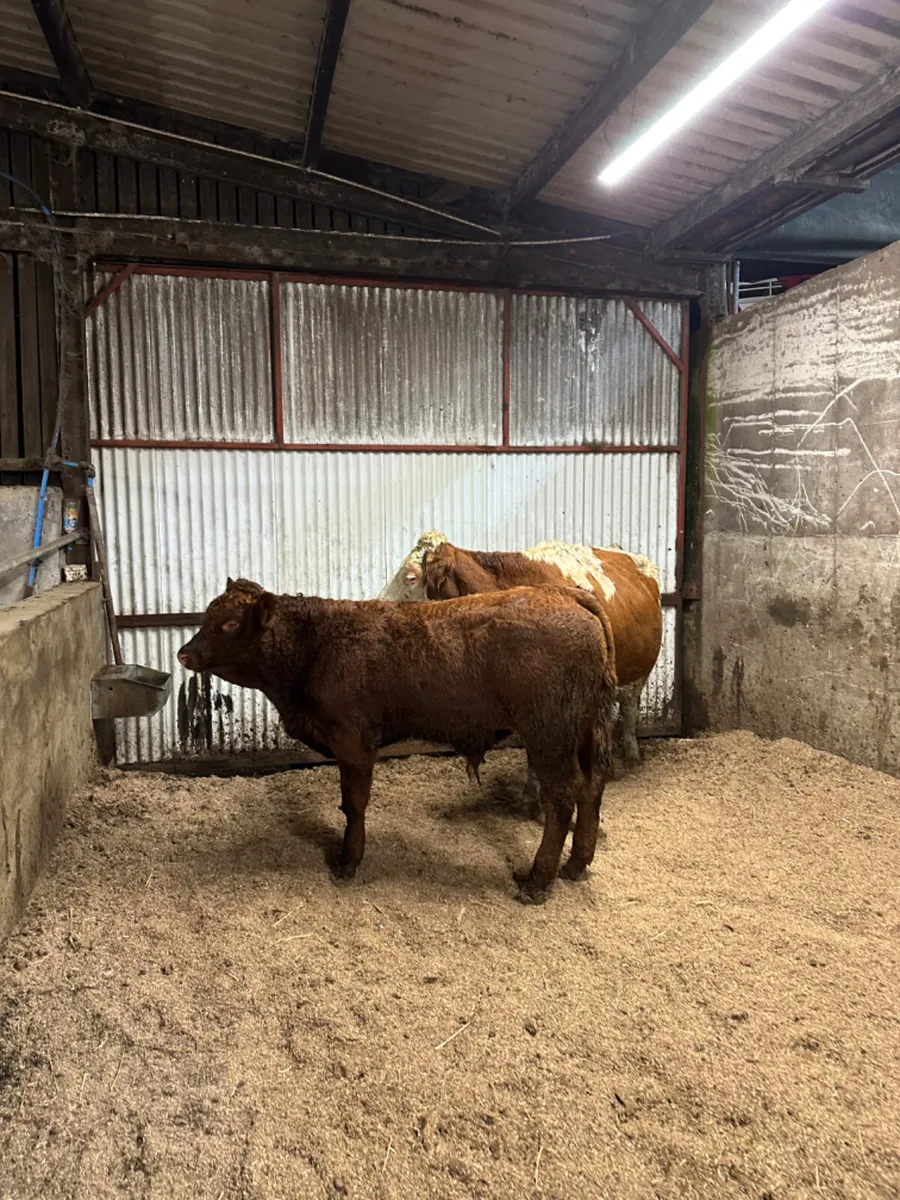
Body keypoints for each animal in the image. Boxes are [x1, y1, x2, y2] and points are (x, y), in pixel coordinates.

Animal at [177, 578, 617, 904]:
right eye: (207, 615)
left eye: (229, 624)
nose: (183, 654)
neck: (316, 645)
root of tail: (563, 594)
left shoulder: (353, 743)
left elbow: (353, 804)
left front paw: (348, 862)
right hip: (583, 728)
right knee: (592, 785)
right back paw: (577, 865)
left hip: (549, 733)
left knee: (562, 796)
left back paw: (537, 882)